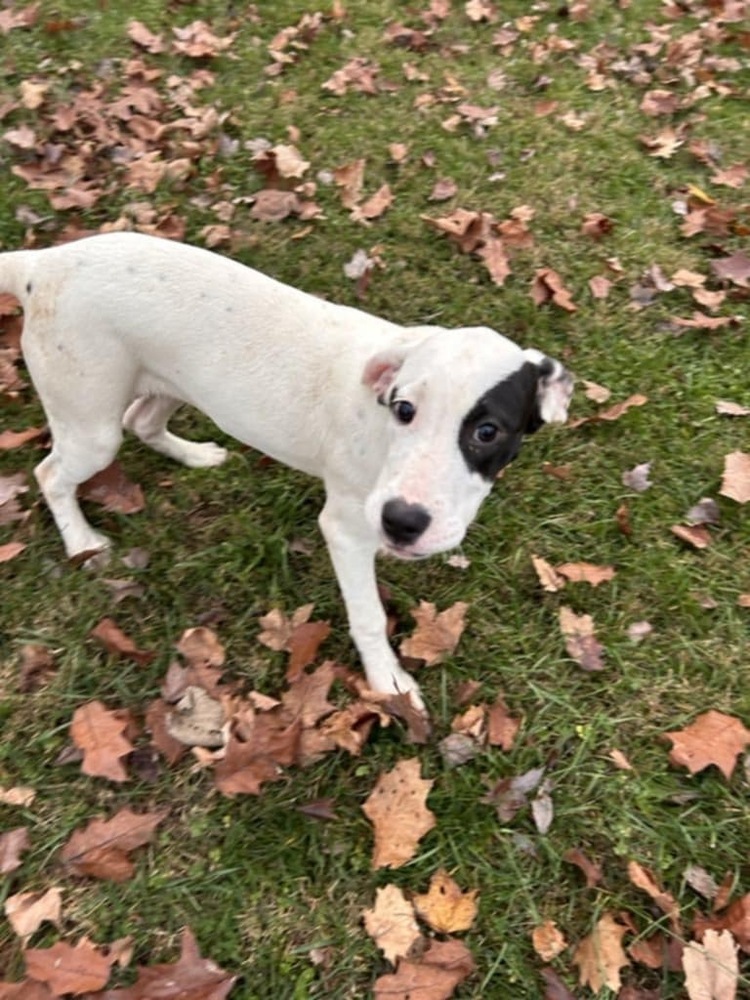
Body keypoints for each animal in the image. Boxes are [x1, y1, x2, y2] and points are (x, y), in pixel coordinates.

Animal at [1, 231, 576, 708]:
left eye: (488, 432)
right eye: (404, 409)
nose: (401, 522)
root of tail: (44, 262)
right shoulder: (346, 528)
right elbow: (368, 615)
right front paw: (387, 681)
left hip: (170, 382)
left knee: (141, 420)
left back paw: (195, 455)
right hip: (92, 427)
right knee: (52, 474)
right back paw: (82, 542)